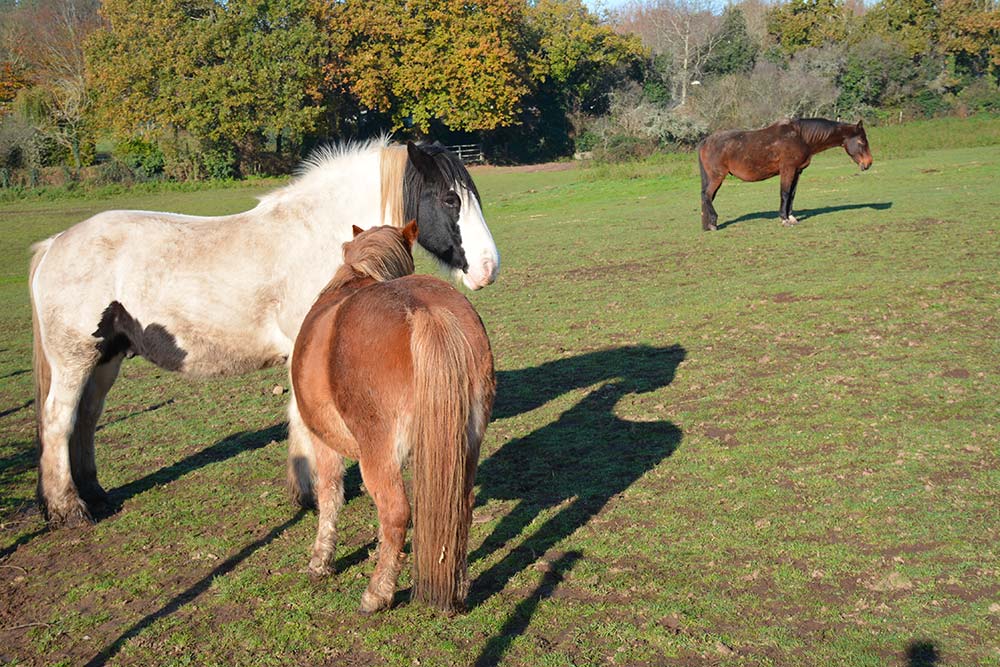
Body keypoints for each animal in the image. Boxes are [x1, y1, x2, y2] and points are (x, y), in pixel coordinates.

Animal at [28, 139, 500, 528]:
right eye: (450, 198)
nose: (489, 268)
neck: (322, 239)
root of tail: (54, 244)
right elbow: (304, 421)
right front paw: (311, 493)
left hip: (105, 359)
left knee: (85, 419)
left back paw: (95, 495)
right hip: (75, 359)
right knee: (58, 420)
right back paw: (69, 510)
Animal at [291, 222, 495, 614]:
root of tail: (425, 311)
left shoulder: (322, 441)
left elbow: (330, 495)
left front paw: (321, 560)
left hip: (378, 456)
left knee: (397, 513)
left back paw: (377, 593)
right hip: (466, 447)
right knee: (460, 508)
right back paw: (457, 587)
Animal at [698, 118, 873, 230]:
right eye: (861, 142)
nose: (869, 163)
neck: (800, 137)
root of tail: (706, 141)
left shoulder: (797, 171)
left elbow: (792, 195)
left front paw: (791, 217)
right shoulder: (787, 169)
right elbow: (785, 193)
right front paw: (784, 219)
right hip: (717, 177)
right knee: (707, 195)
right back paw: (712, 223)